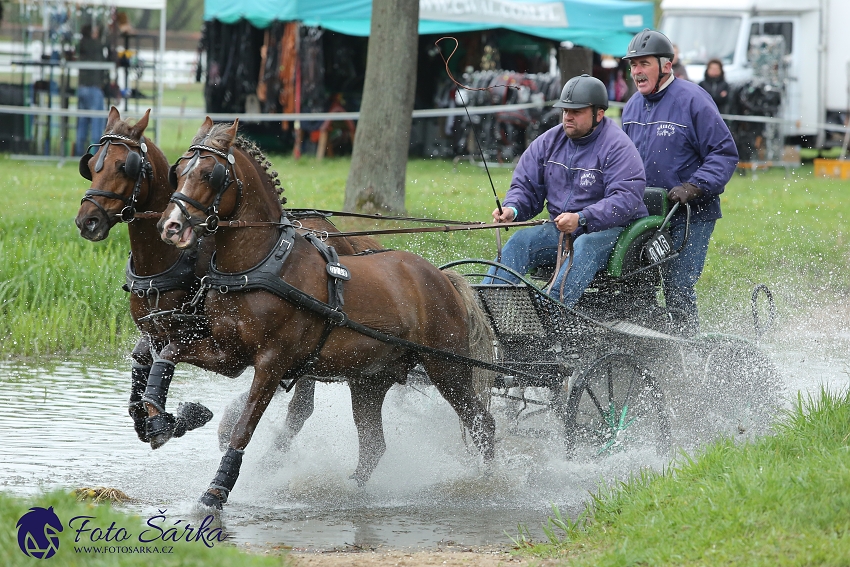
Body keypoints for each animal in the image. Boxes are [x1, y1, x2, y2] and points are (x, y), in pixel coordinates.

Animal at [73, 106, 378, 452]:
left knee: (300, 400)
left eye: (125, 166)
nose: (87, 220)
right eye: (91, 167)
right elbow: (142, 363)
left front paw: (179, 420)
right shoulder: (157, 331)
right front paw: (153, 421)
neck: (170, 259)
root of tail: (340, 237)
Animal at [157, 117, 496, 508]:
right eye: (178, 171)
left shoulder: (271, 363)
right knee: (374, 445)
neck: (262, 263)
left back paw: (489, 484)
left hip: (448, 369)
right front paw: (158, 420)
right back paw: (349, 490)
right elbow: (168, 352)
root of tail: (442, 277)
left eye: (210, 174)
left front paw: (216, 490)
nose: (170, 226)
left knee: (483, 424)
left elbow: (243, 427)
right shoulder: (230, 354)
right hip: (369, 380)